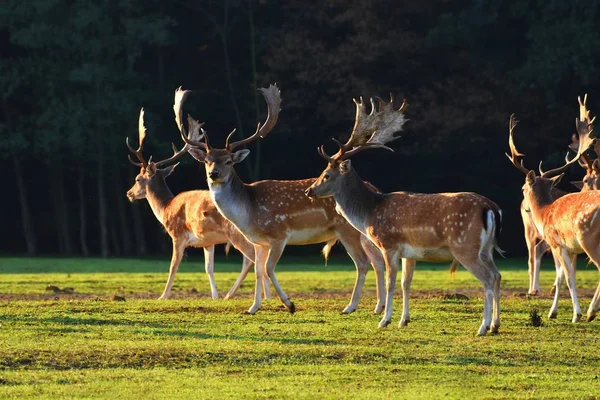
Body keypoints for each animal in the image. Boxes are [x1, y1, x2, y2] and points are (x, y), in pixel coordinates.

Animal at [127, 87, 274, 300]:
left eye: (138, 179)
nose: (129, 193)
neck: (165, 208)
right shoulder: (207, 241)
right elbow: (208, 268)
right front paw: (214, 295)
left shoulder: (178, 235)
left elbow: (173, 266)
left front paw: (163, 296)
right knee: (257, 259)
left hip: (237, 233)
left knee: (253, 260)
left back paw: (261, 296)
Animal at [180, 84, 386, 316]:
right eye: (206, 160)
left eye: (228, 161)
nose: (213, 174)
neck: (248, 212)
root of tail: (373, 189)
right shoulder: (258, 241)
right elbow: (258, 271)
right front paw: (253, 308)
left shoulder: (279, 234)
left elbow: (268, 268)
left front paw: (290, 304)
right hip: (363, 232)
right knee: (377, 260)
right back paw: (378, 306)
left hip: (347, 230)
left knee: (363, 262)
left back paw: (350, 306)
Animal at [308, 95, 504, 336]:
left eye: (326, 174)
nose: (309, 191)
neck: (370, 212)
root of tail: (491, 208)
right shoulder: (409, 253)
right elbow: (405, 283)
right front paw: (404, 320)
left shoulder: (388, 244)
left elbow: (390, 281)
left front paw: (385, 320)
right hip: (486, 249)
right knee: (497, 275)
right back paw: (495, 325)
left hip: (465, 246)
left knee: (487, 279)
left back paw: (483, 327)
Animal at [506, 96, 600, 322]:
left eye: (523, 188)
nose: (525, 208)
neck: (544, 212)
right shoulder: (567, 249)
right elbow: (561, 278)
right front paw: (554, 311)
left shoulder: (558, 244)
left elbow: (566, 278)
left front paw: (574, 314)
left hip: (588, 239)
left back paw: (591, 311)